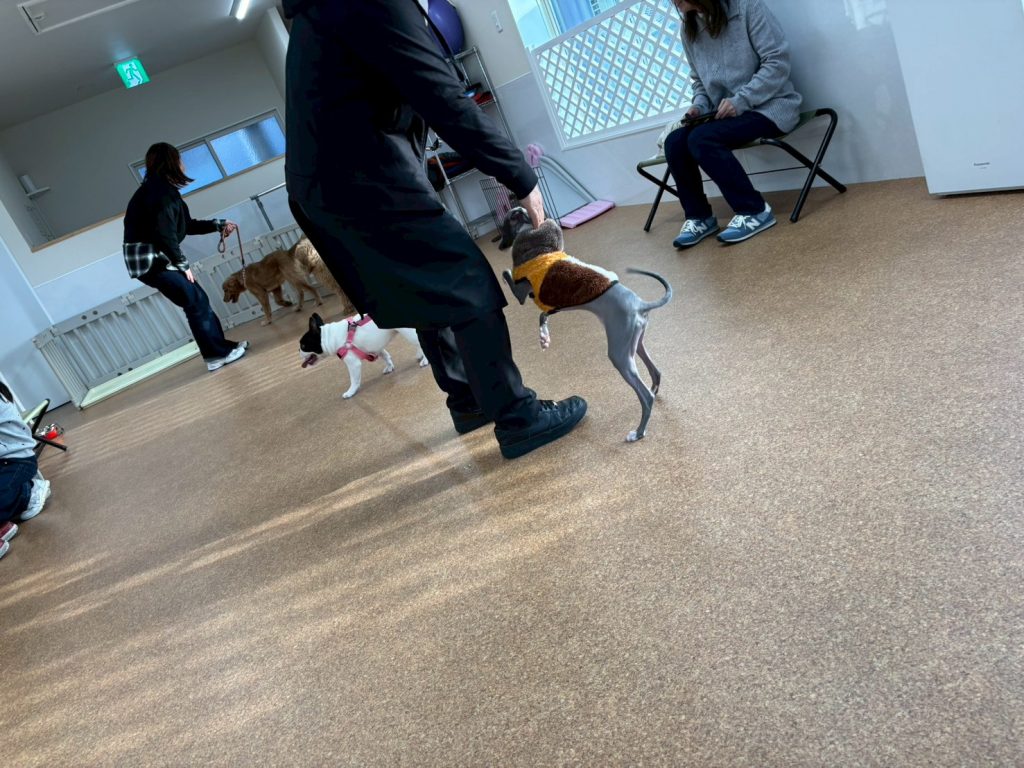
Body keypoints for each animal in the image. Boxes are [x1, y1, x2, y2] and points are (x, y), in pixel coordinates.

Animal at [299, 312, 429, 399]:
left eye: (303, 346)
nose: (298, 350)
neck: (328, 336)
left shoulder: (353, 363)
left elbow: (354, 379)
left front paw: (351, 391)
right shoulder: (376, 347)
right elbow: (385, 355)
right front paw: (389, 367)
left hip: (407, 332)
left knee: (420, 342)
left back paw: (425, 359)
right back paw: (420, 355)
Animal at [498, 207, 672, 442]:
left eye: (503, 225)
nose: (499, 244)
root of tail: (640, 304)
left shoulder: (521, 292)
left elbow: (507, 274)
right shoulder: (554, 307)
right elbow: (543, 316)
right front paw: (544, 337)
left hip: (619, 355)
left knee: (646, 397)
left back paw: (638, 431)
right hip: (635, 343)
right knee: (656, 373)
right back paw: (654, 391)